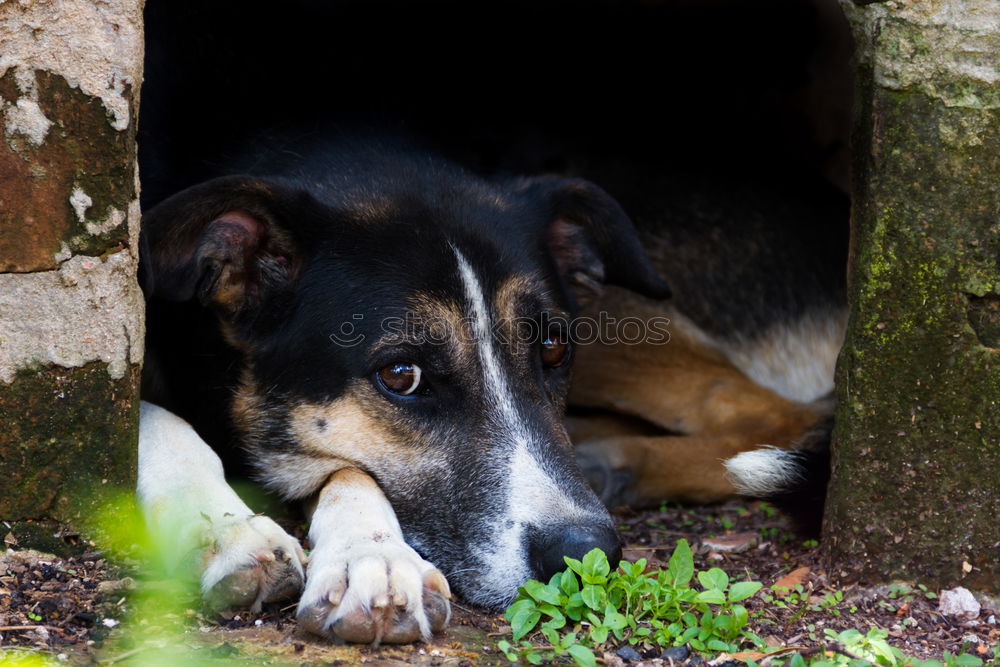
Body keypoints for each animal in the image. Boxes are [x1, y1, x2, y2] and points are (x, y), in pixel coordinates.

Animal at [131, 136, 664, 640]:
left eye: (553, 348)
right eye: (402, 375)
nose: (587, 552)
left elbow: (352, 472)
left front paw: (373, 559)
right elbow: (159, 420)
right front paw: (230, 531)